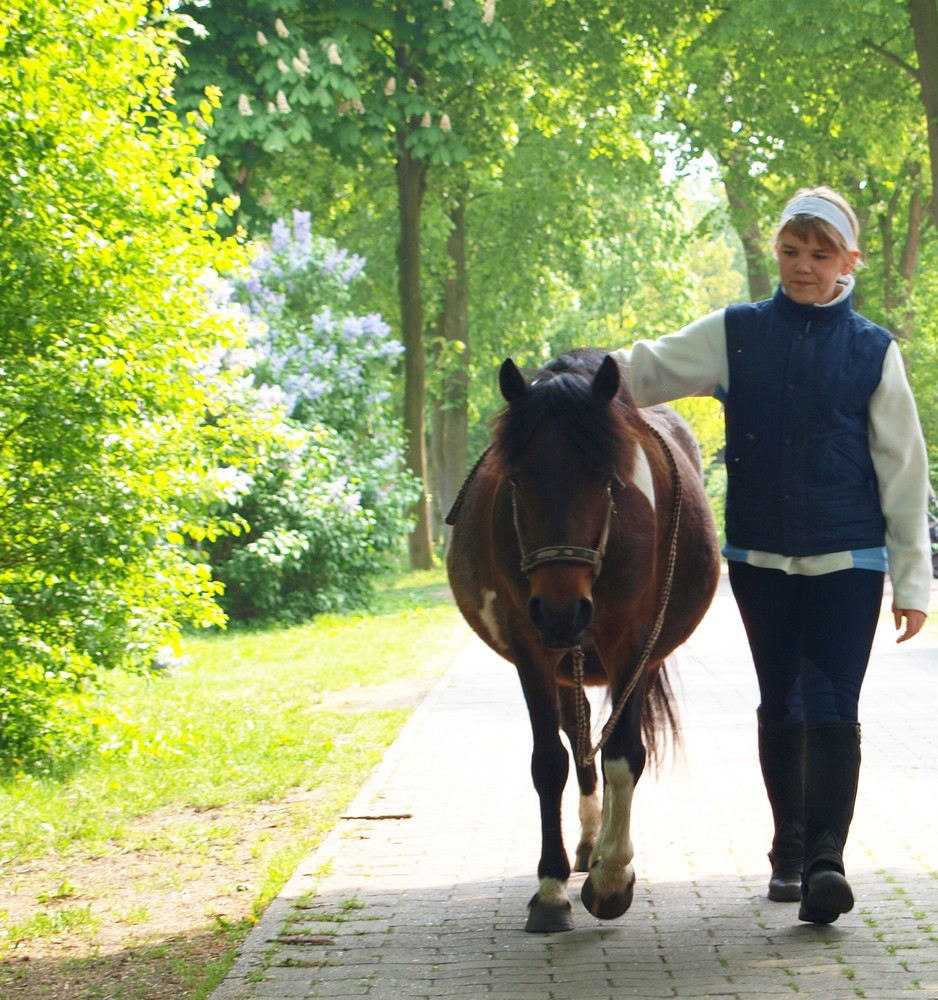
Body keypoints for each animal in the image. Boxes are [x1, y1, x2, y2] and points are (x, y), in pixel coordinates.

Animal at [446, 350, 716, 928]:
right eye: (516, 481)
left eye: (607, 480)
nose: (561, 611)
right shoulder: (530, 647)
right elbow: (550, 762)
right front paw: (550, 889)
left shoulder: (633, 643)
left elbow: (625, 755)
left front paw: (612, 879)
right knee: (580, 734)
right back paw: (589, 842)